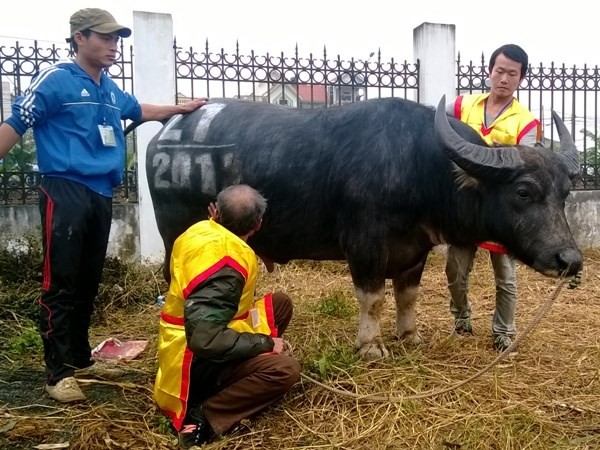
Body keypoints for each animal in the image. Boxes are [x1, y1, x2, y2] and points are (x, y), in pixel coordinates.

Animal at [144, 96, 580, 358]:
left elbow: (407, 297)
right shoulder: (364, 245)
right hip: (175, 232)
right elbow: (373, 298)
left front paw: (409, 338)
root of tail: (165, 134)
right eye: (523, 191)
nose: (570, 259)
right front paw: (371, 347)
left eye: (565, 192)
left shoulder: (414, 251)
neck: (418, 166)